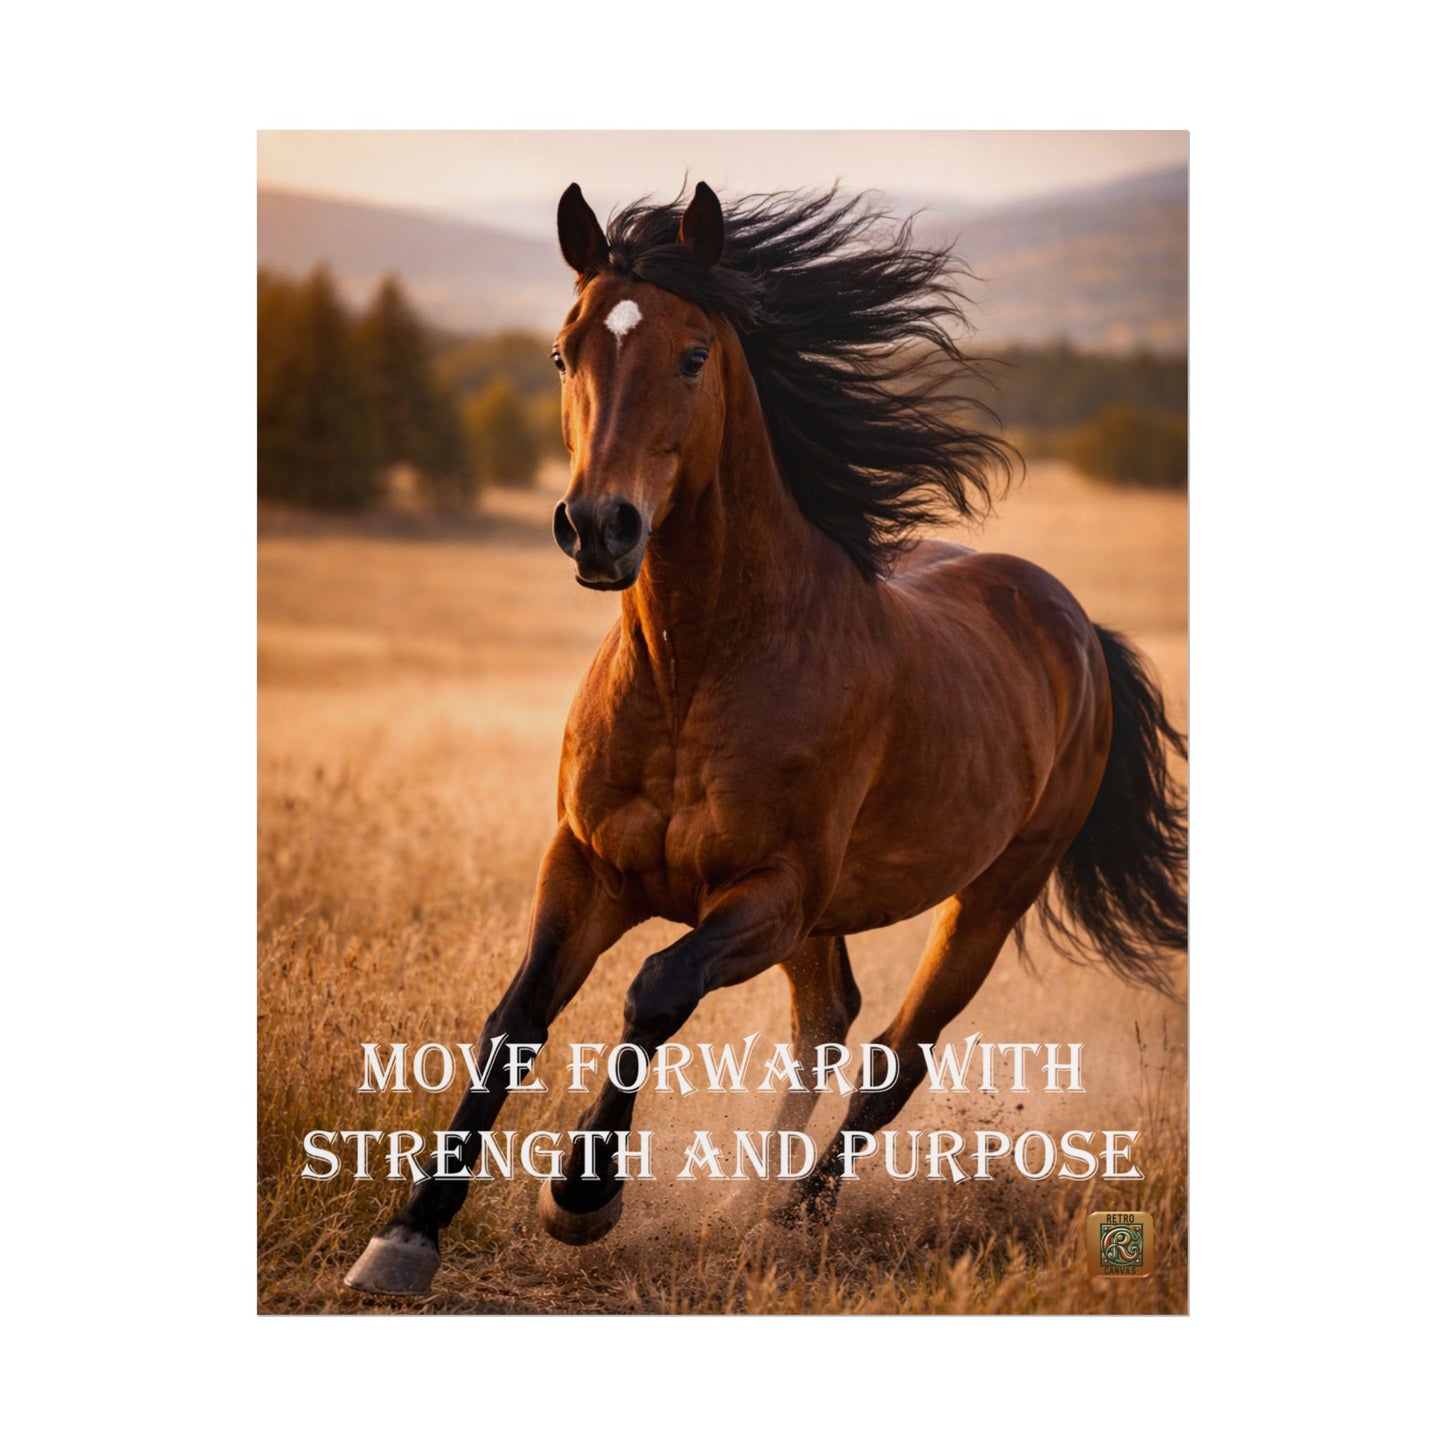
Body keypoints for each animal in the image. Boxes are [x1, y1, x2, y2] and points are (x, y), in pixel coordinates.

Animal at [344, 181, 1187, 1296]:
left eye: (694, 354)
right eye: (564, 353)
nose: (598, 527)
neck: (694, 671)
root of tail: (1074, 625)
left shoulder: (767, 897)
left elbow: (654, 990)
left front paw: (582, 1194)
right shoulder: (586, 866)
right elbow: (513, 1020)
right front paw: (407, 1232)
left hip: (992, 891)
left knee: (894, 1051)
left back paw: (793, 1213)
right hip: (830, 915)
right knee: (826, 1021)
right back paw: (749, 1202)